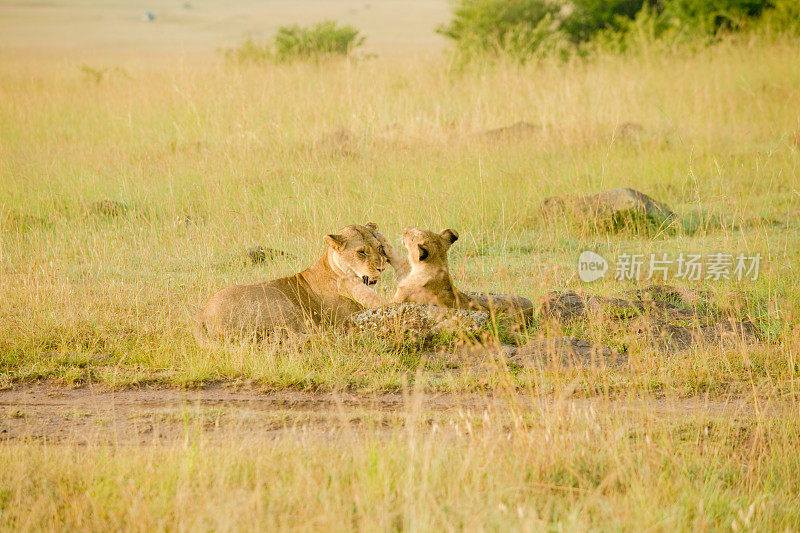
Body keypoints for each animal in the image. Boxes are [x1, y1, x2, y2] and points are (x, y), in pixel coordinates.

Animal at [195, 221, 394, 340]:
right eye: (361, 252)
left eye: (379, 247)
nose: (382, 267)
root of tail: (202, 314)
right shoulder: (347, 315)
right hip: (281, 304)